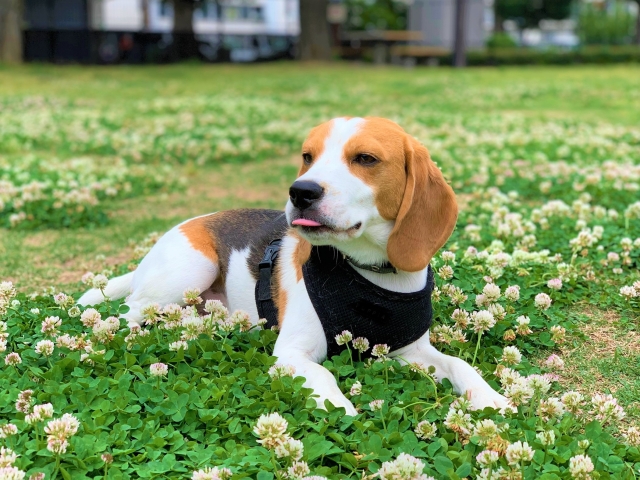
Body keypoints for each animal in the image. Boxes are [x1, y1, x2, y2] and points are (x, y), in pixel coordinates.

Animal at [80, 118, 510, 414]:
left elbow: (459, 364)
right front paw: (343, 410)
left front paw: (490, 398)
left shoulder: (412, 350)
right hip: (191, 267)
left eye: (366, 159)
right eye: (308, 156)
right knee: (126, 314)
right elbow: (323, 374)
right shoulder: (292, 352)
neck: (372, 275)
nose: (301, 191)